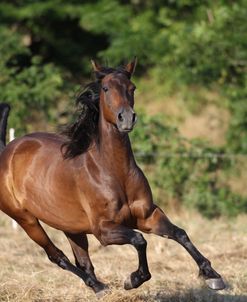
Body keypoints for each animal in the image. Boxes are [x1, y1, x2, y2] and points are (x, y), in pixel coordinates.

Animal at [0, 60, 225, 296]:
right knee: (57, 256)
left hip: (70, 226)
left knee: (82, 261)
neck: (115, 172)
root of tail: (7, 151)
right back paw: (100, 286)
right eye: (106, 88)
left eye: (132, 87)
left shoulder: (147, 215)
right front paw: (134, 279)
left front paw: (212, 276)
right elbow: (139, 240)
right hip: (26, 219)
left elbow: (179, 233)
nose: (126, 118)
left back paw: (98, 286)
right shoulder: (103, 230)